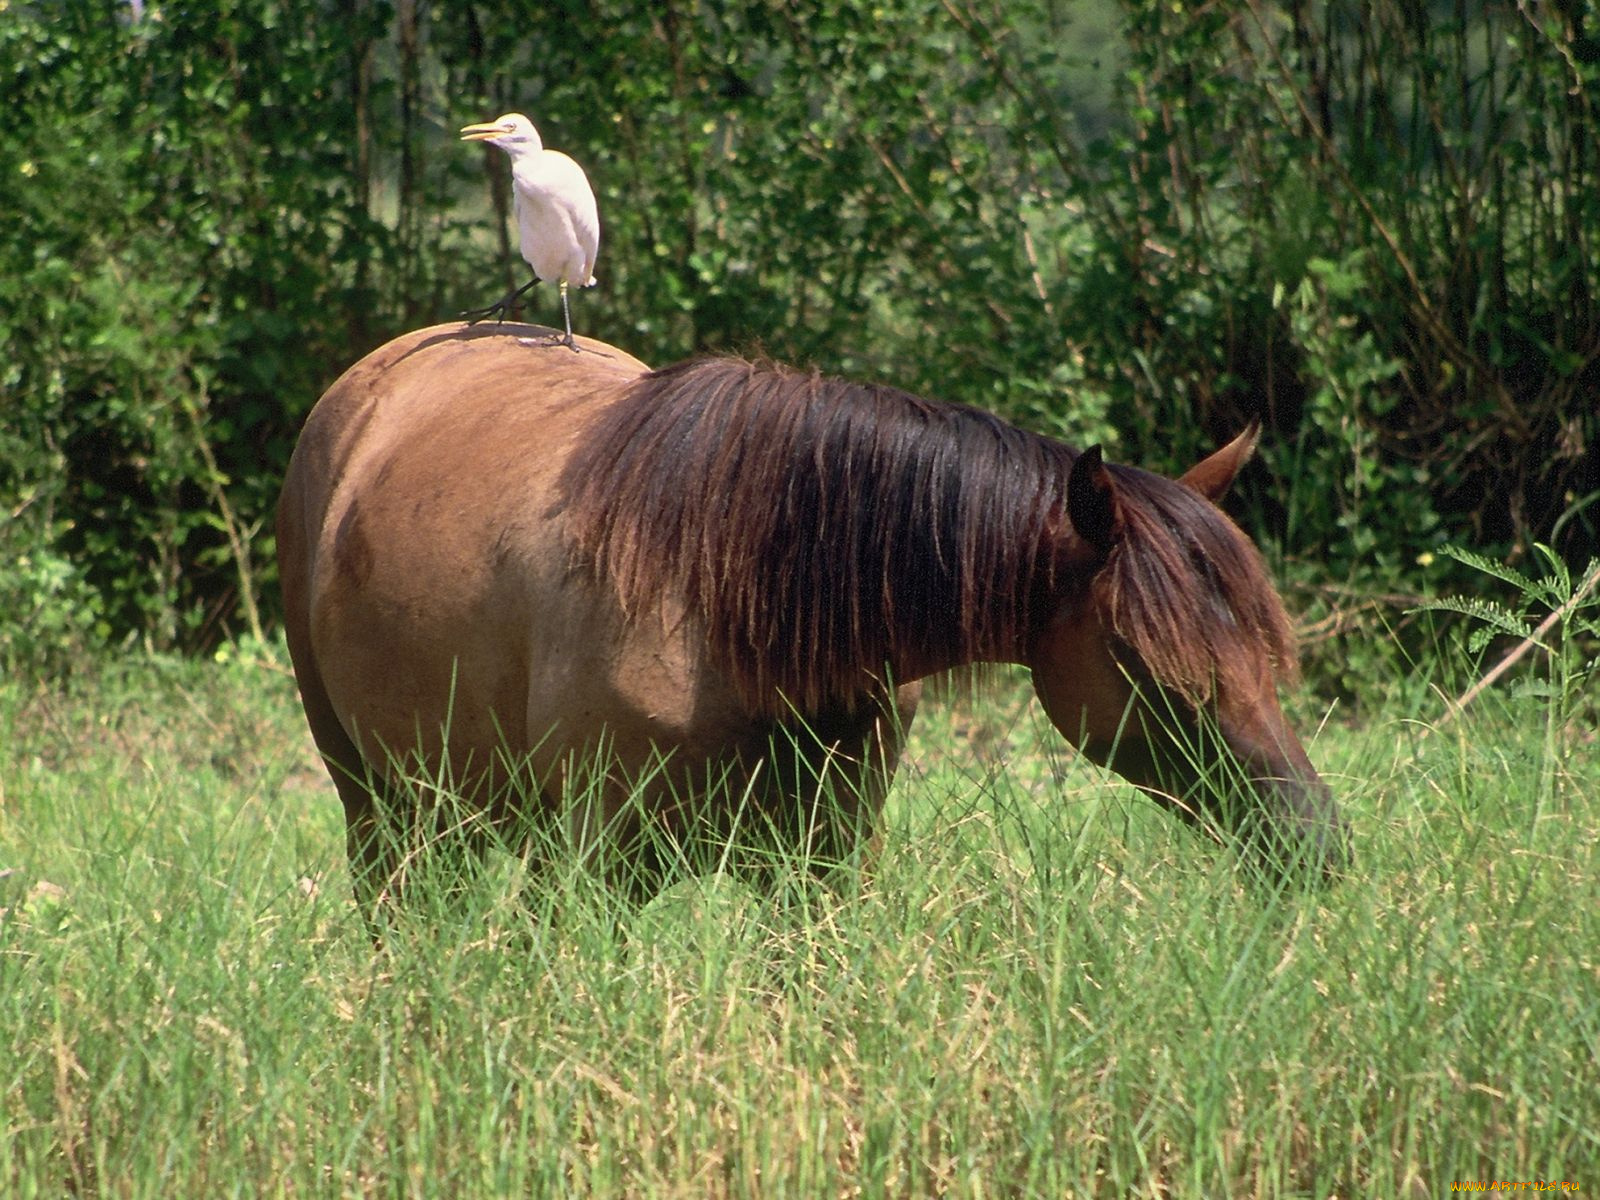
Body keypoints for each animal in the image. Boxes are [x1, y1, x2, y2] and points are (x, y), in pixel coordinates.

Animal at [278, 321, 1350, 921]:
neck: (731, 602)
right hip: (376, 804)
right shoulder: (596, 863)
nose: (1314, 842)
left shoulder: (823, 864)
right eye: (1143, 660)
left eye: (1267, 653)